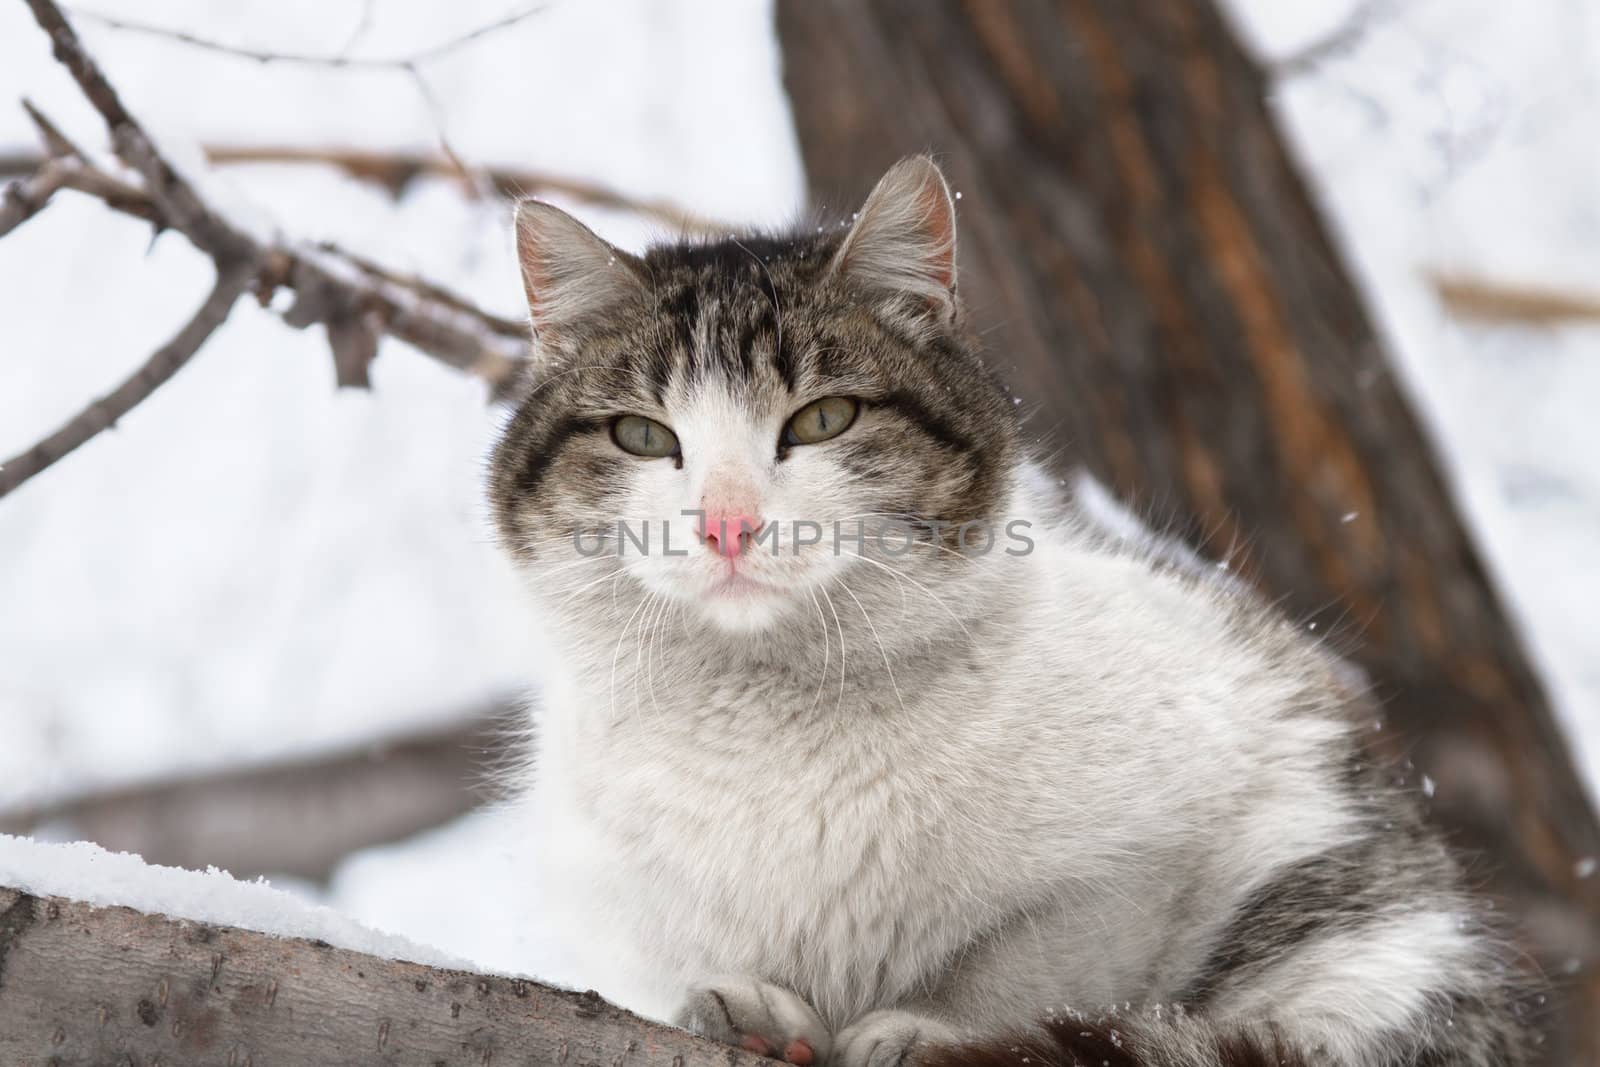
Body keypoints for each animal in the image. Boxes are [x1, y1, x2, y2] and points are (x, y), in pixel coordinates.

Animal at [483, 158, 1523, 1067]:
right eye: (640, 434)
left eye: (823, 419)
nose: (727, 523)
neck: (770, 716)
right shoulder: (612, 911)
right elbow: (687, 965)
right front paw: (750, 1007)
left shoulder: (1155, 847)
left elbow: (1036, 964)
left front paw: (927, 1028)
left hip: (1368, 942)